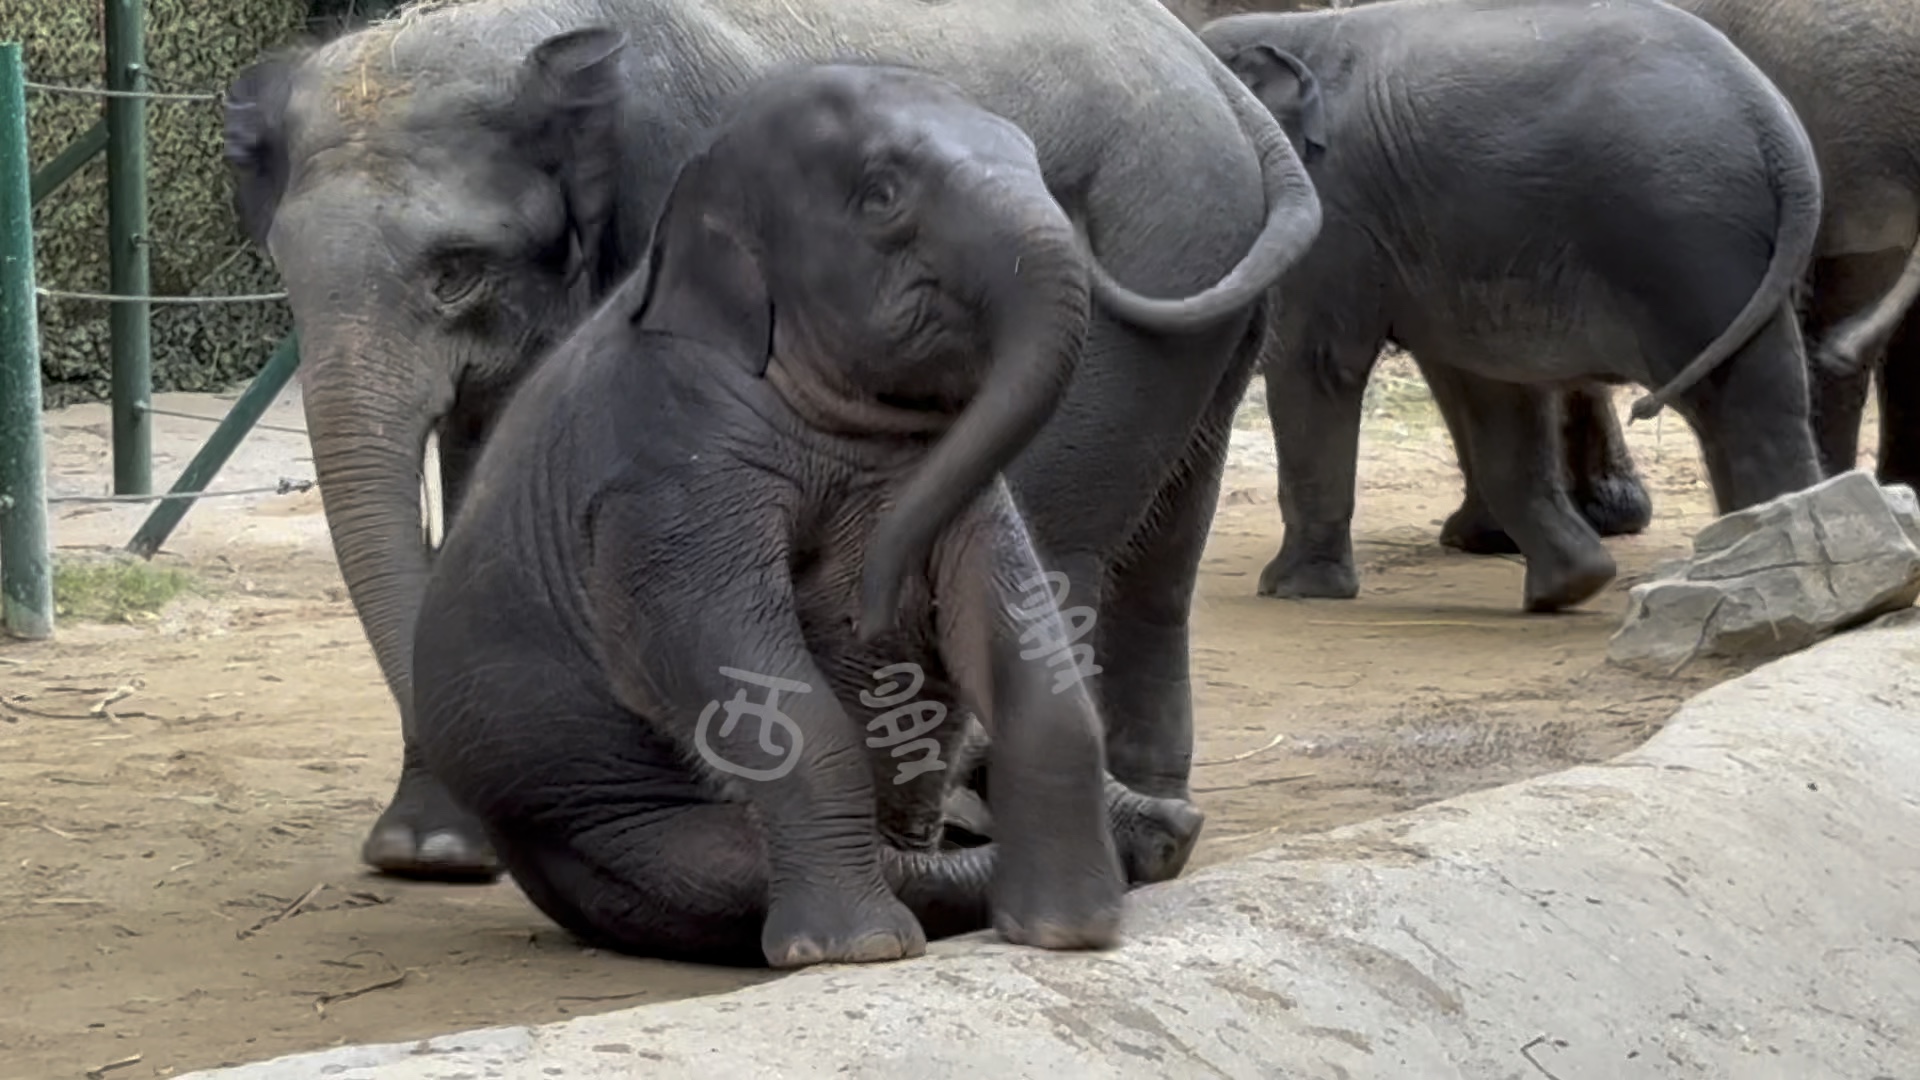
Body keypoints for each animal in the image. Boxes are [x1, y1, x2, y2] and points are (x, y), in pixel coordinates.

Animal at [224, 0, 1320, 876]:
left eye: (455, 271)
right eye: (281, 274)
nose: (436, 842)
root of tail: (1229, 87)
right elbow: (488, 474)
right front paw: (434, 854)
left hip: (1157, 248)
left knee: (1062, 532)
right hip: (1209, 274)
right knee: (1166, 548)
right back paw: (1147, 801)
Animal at [410, 58, 1198, 968]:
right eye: (883, 193)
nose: (875, 611)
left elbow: (1016, 633)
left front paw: (1070, 932)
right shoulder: (668, 475)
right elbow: (736, 662)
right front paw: (857, 950)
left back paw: (1163, 835)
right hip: (589, 814)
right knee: (726, 873)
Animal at [1205, 0, 1820, 611]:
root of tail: (1775, 126)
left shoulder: (1333, 213)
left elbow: (1316, 364)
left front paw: (1291, 590)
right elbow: (1493, 388)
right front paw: (1570, 586)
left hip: (1682, 236)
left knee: (1736, 401)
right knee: (1765, 392)